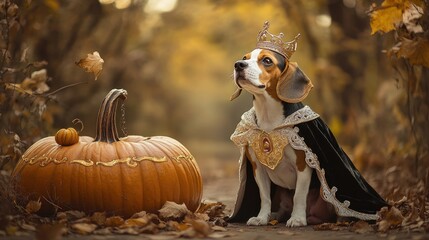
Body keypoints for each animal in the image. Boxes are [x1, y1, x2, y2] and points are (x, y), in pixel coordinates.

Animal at [231, 48, 334, 227]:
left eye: (267, 60)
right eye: (245, 58)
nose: (238, 64)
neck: (268, 117)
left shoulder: (304, 165)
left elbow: (299, 195)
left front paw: (298, 218)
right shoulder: (258, 168)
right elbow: (265, 196)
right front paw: (261, 217)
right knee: (282, 209)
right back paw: (275, 215)